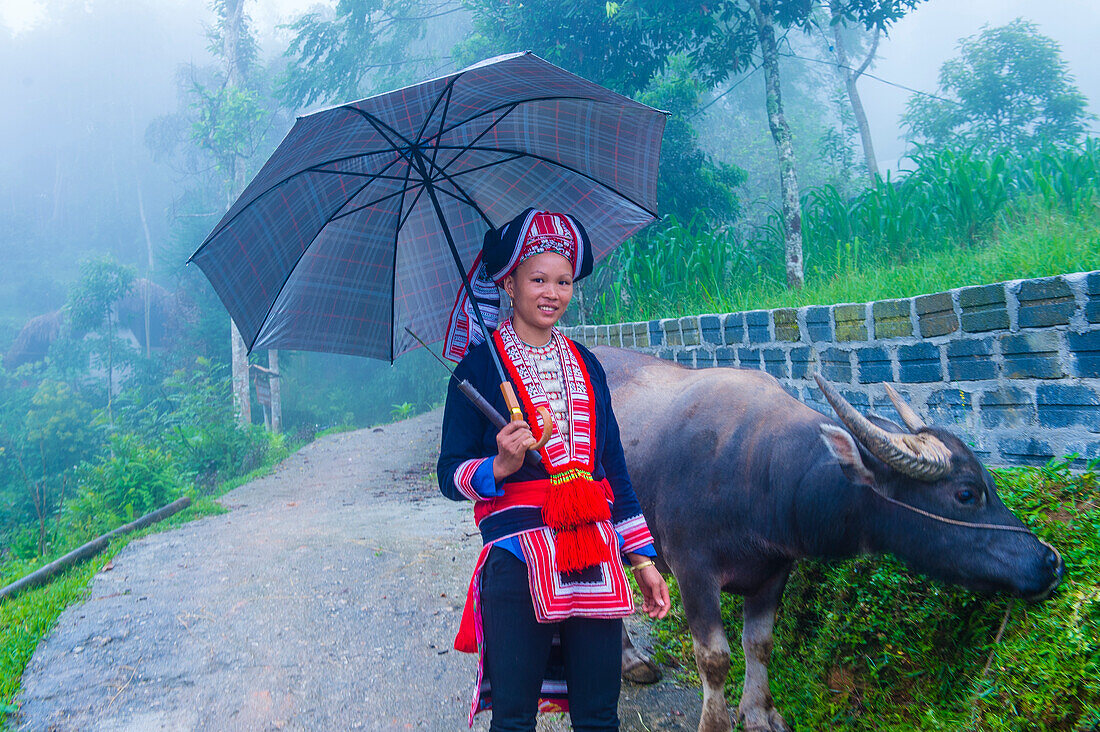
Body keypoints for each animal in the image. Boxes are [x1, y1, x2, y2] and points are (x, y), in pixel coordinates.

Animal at [594, 347, 1064, 730]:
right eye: (966, 493)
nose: (1050, 561)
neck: (758, 468)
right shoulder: (694, 571)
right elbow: (714, 658)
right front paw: (716, 723)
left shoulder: (773, 571)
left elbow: (759, 644)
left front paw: (760, 714)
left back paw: (631, 662)